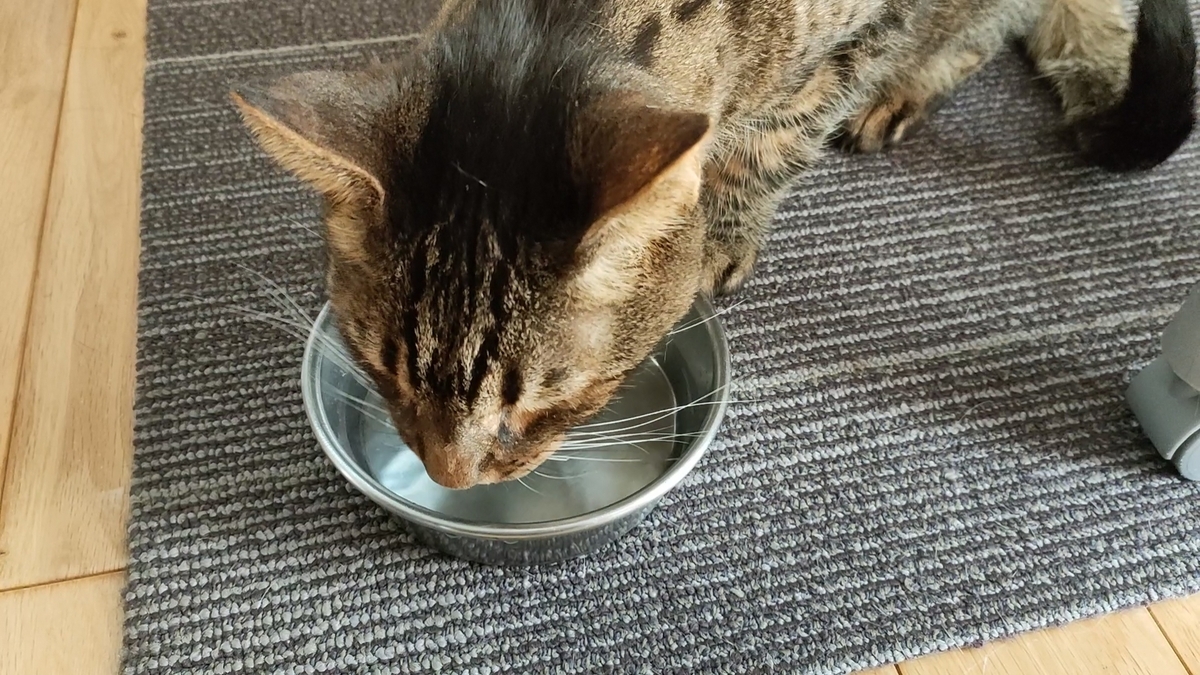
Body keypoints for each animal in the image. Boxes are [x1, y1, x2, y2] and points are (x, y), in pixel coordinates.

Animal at [234, 0, 1196, 489]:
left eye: (548, 402)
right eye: (381, 367)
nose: (449, 477)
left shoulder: (865, 33)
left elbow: (782, 135)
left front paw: (721, 233)